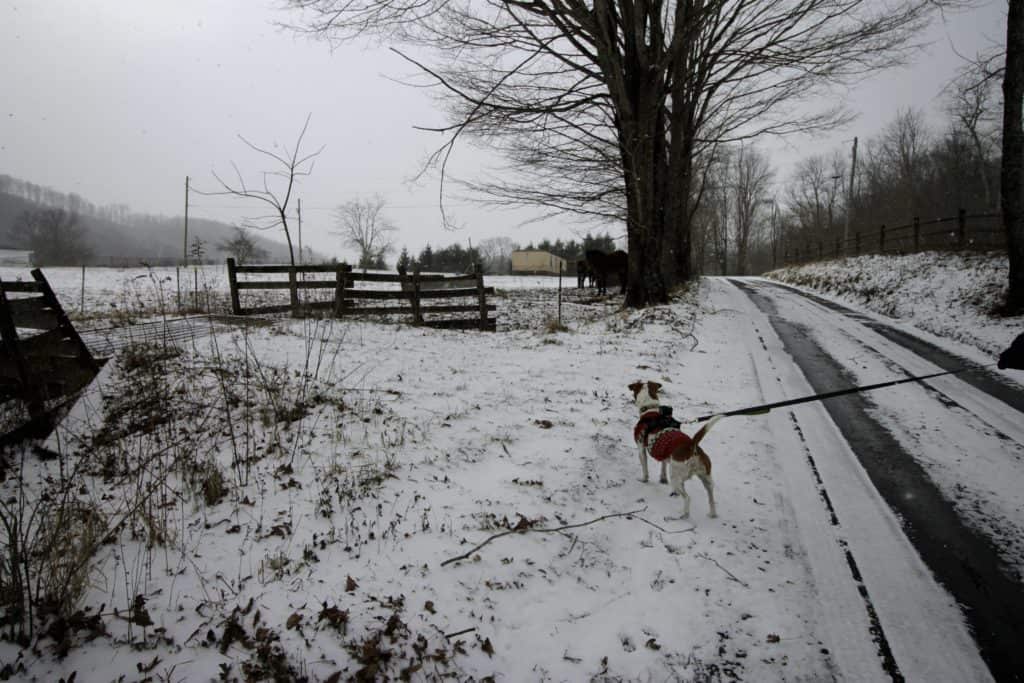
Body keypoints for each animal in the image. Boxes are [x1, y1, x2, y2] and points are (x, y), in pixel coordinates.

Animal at [626, 382, 724, 520]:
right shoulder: (663, 454)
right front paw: (662, 479)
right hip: (706, 478)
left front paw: (644, 479)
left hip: (676, 478)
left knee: (687, 498)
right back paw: (712, 514)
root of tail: (692, 446)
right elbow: (663, 466)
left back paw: (684, 515)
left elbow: (645, 469)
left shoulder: (641, 449)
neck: (650, 410)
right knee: (711, 498)